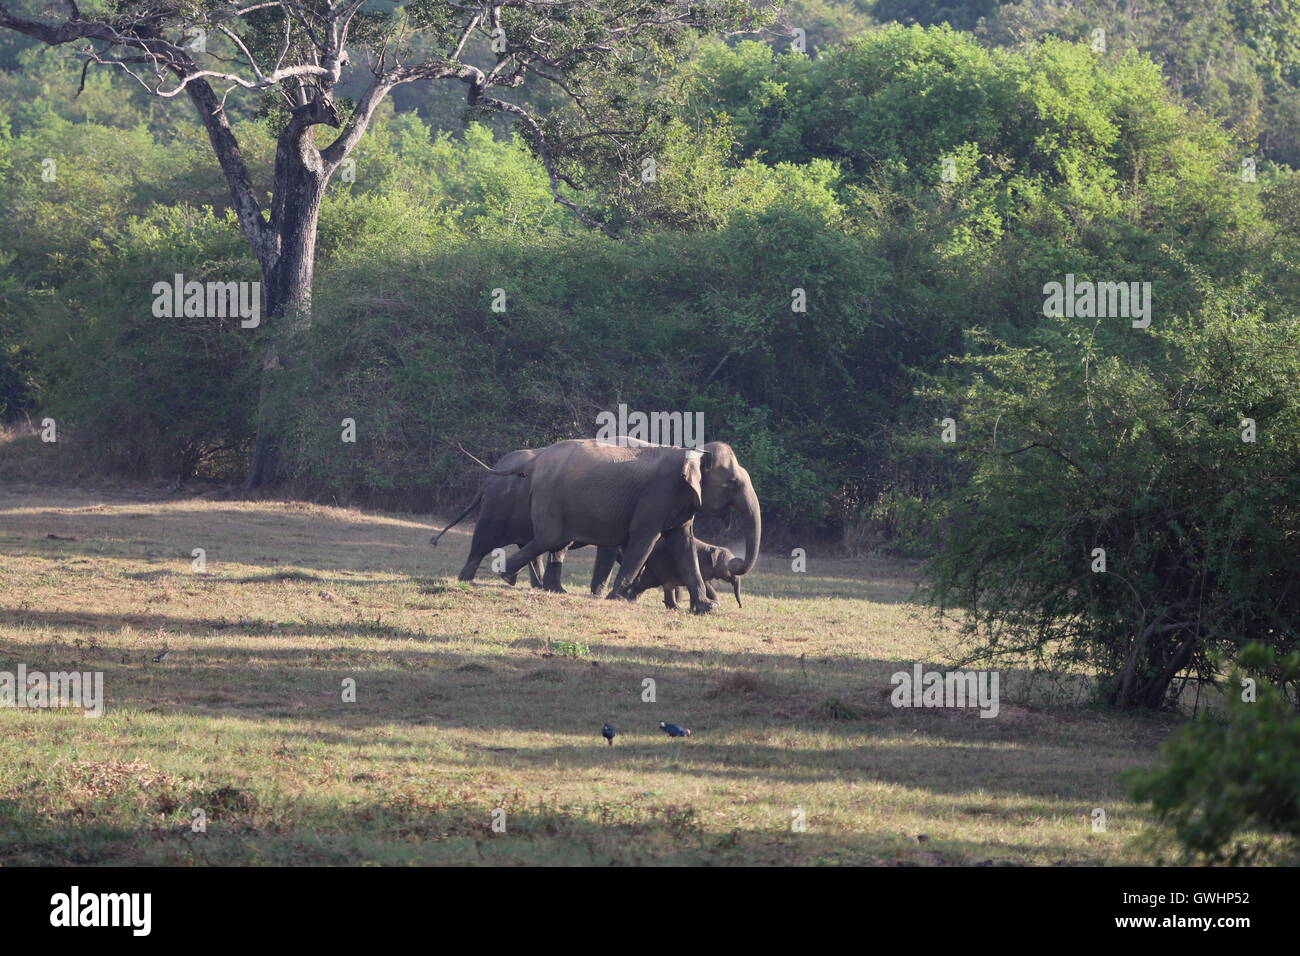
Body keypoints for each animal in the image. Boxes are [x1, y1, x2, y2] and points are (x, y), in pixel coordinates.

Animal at [434, 434, 759, 613]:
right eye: (732, 483)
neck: (689, 452)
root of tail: (534, 462)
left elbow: (684, 544)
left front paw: (708, 608)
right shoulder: (657, 494)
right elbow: (644, 539)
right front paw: (620, 598)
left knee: (551, 542)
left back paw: (540, 586)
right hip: (539, 497)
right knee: (542, 538)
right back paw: (492, 576)